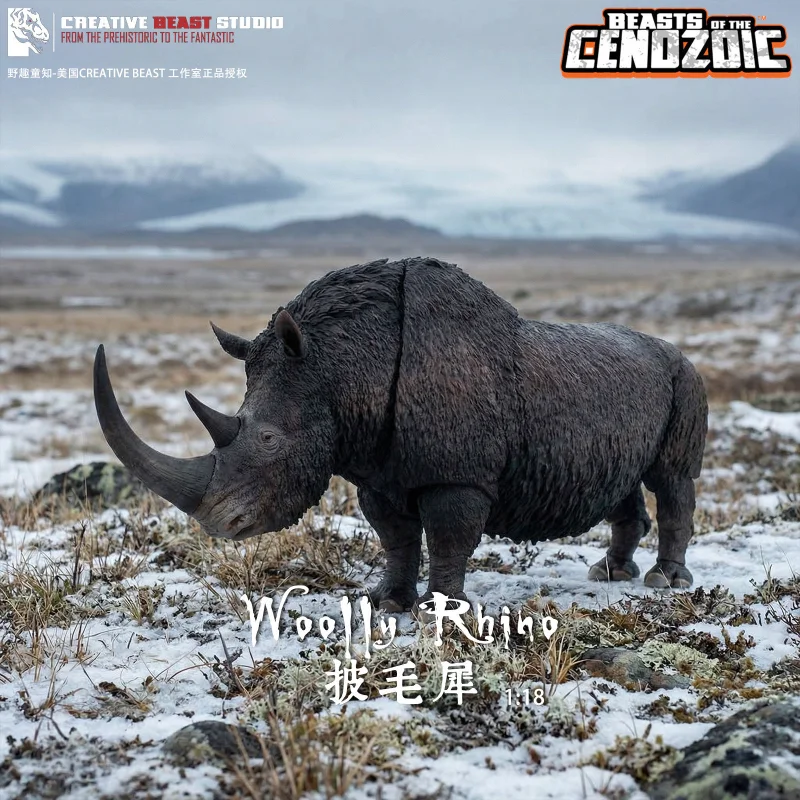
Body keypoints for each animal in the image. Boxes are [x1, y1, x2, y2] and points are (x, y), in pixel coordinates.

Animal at [94, 257, 708, 611]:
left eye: (269, 440)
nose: (218, 524)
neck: (341, 366)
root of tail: (674, 349)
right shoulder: (377, 468)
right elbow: (395, 535)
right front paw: (387, 602)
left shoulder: (457, 472)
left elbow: (449, 535)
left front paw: (444, 610)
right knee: (623, 477)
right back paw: (611, 574)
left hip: (685, 377)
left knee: (673, 477)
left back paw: (665, 583)